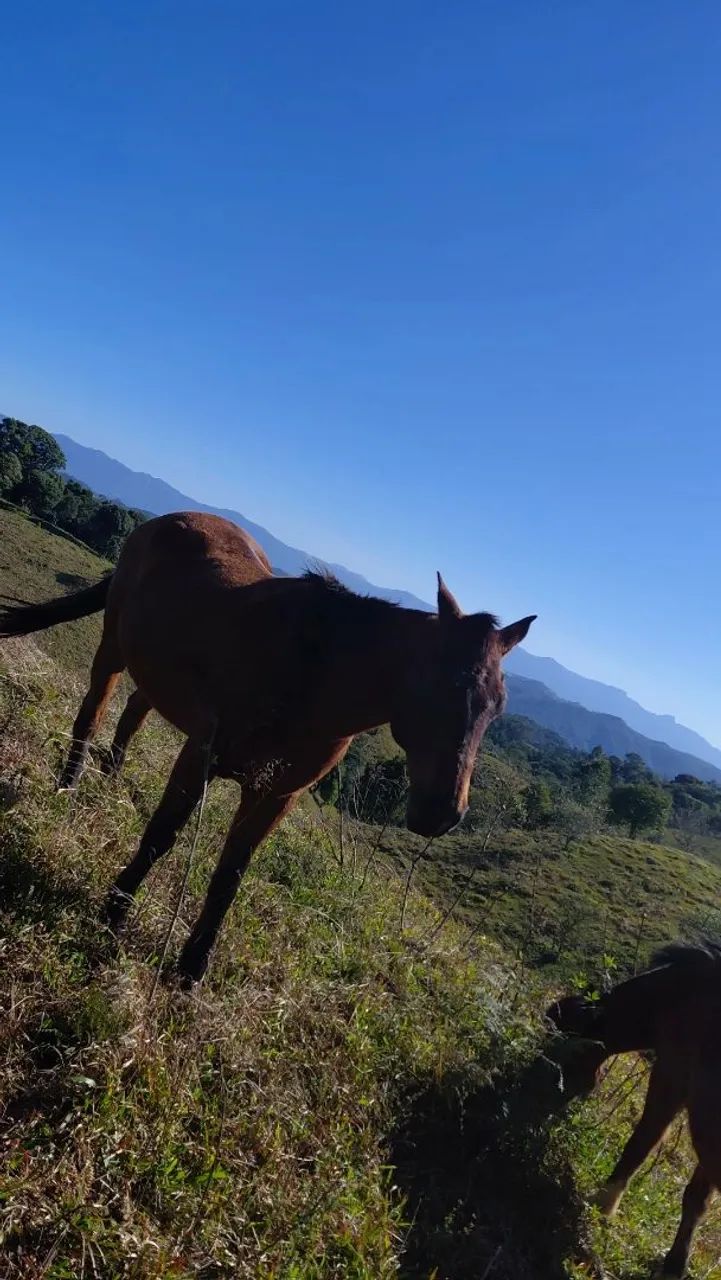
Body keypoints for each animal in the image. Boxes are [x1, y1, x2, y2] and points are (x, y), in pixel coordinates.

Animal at [0, 511, 535, 984]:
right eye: (442, 687)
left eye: (497, 708)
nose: (442, 812)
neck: (313, 674)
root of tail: (162, 522)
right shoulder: (202, 755)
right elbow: (161, 836)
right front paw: (115, 911)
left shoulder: (276, 795)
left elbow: (229, 878)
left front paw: (192, 969)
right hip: (113, 645)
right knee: (93, 712)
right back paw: (69, 786)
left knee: (134, 710)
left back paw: (111, 778)